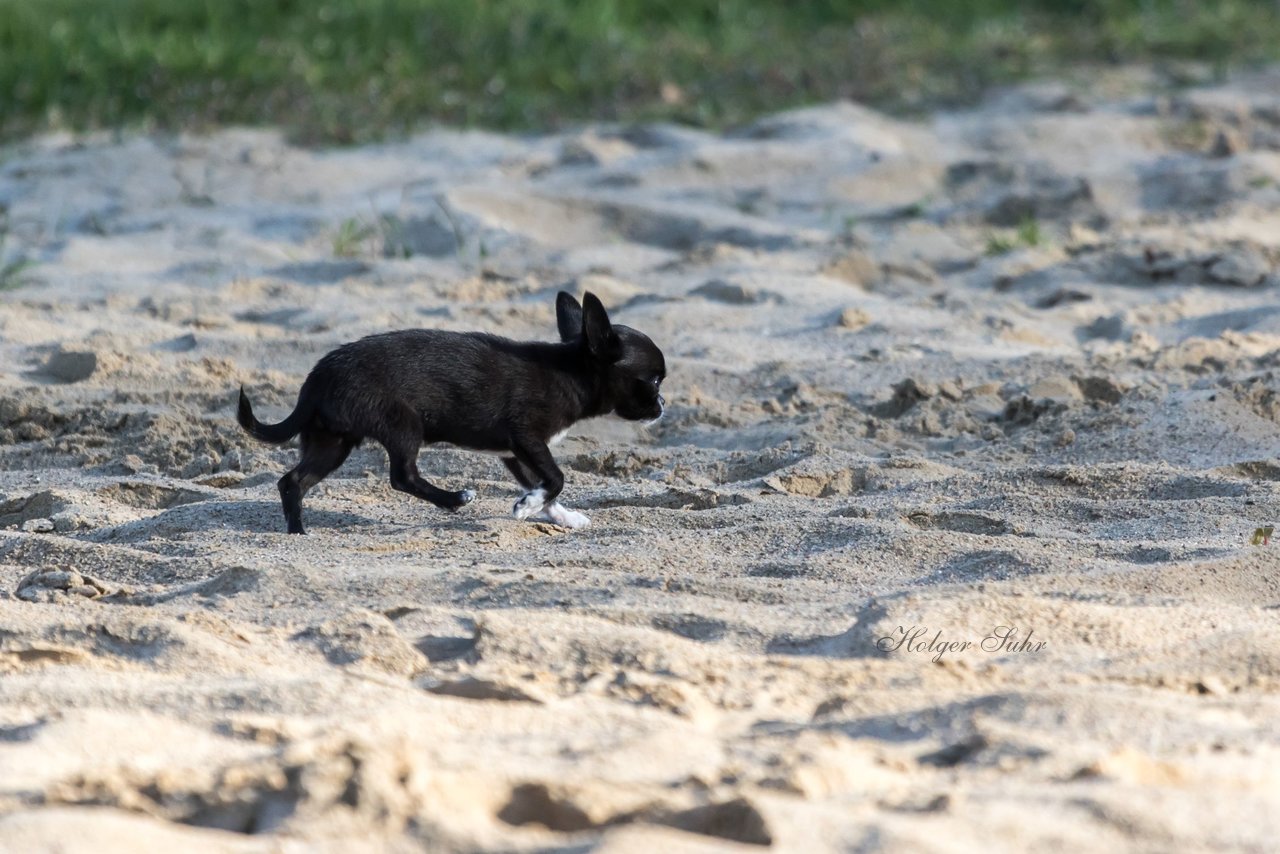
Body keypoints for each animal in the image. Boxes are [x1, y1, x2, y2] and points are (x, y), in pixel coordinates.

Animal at [234, 294, 665, 535]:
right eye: (654, 380)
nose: (663, 406)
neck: (570, 371)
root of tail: (317, 377)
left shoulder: (516, 453)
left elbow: (544, 484)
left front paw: (561, 516)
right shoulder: (527, 437)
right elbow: (556, 478)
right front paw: (527, 506)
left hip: (332, 442)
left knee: (293, 481)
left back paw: (296, 531)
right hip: (402, 424)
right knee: (402, 477)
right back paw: (455, 499)